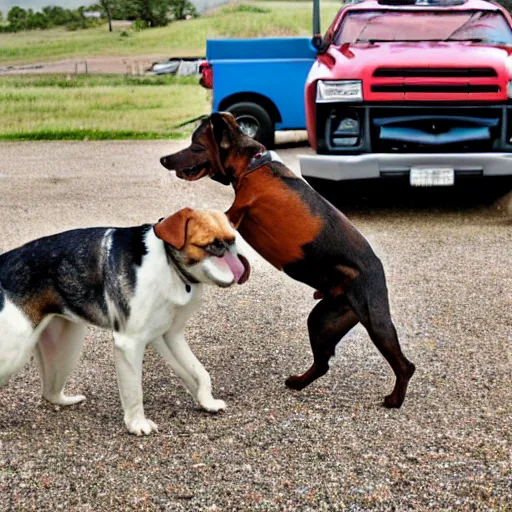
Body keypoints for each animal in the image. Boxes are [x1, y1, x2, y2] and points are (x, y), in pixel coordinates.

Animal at [0, 208, 250, 436]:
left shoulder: (170, 335)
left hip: (65, 349)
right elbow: (134, 392)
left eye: (233, 241)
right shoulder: (130, 343)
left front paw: (207, 402)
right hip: (15, 353)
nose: (241, 267)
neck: (170, 265)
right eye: (214, 246)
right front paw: (137, 424)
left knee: (50, 391)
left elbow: (198, 372)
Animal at [161, 113, 416, 408]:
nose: (164, 159)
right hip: (322, 321)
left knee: (405, 366)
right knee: (323, 364)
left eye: (197, 147)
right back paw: (298, 382)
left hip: (376, 323)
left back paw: (395, 398)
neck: (252, 165)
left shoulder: (233, 212)